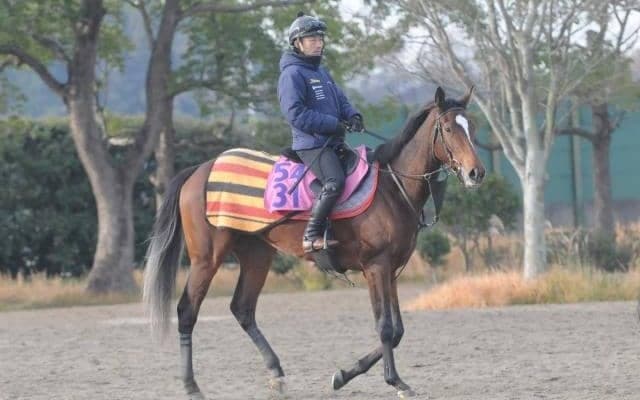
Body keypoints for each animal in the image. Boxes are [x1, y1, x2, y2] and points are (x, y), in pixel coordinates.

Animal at [143, 86, 485, 399]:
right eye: (449, 128)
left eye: (472, 126)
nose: (476, 173)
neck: (391, 187)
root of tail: (200, 170)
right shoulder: (376, 267)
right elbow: (386, 328)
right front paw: (395, 381)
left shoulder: (391, 271)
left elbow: (398, 330)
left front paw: (344, 375)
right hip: (207, 258)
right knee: (187, 311)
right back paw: (191, 385)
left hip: (257, 255)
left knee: (242, 309)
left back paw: (277, 374)